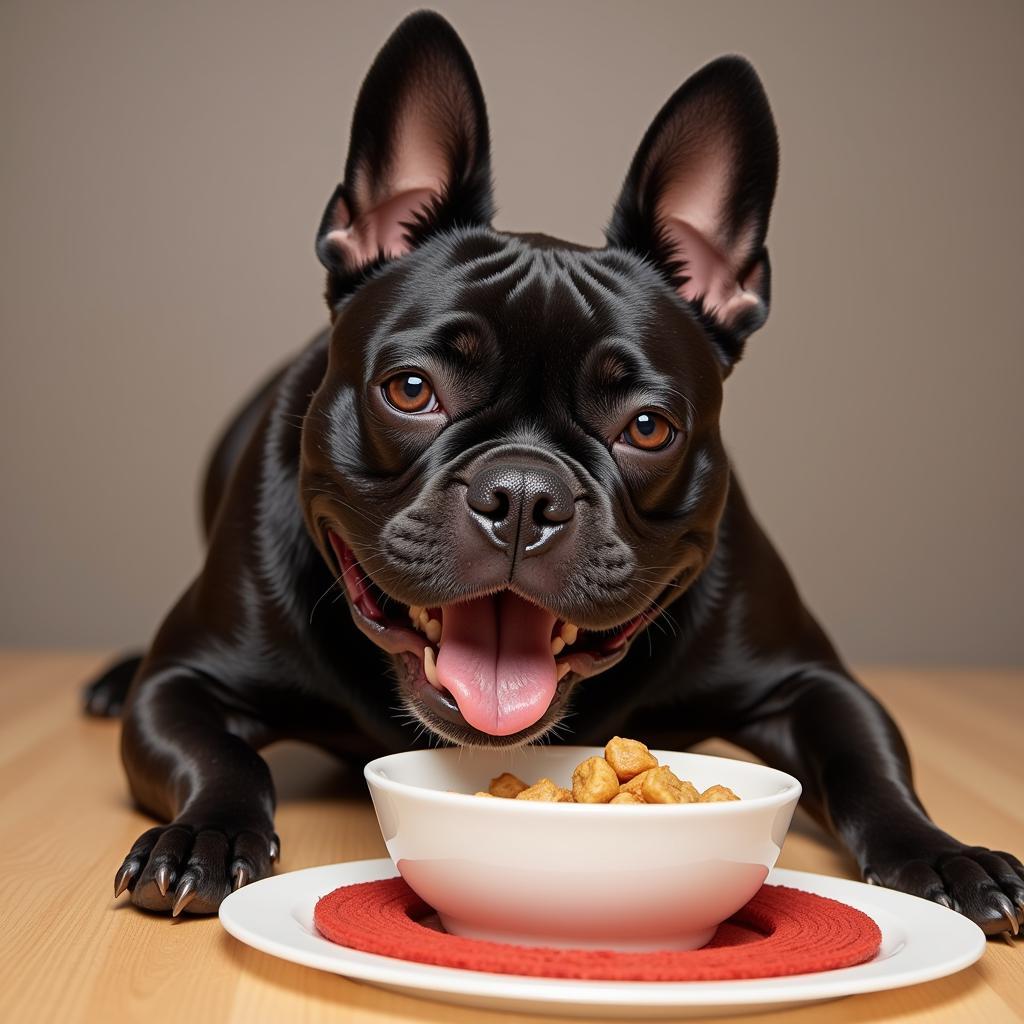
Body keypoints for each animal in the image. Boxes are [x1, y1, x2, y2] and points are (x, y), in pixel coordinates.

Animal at [86, 9, 1024, 937]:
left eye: (647, 428)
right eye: (411, 390)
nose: (523, 494)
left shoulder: (810, 682)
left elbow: (870, 761)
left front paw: (943, 852)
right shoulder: (183, 683)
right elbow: (224, 756)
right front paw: (205, 834)